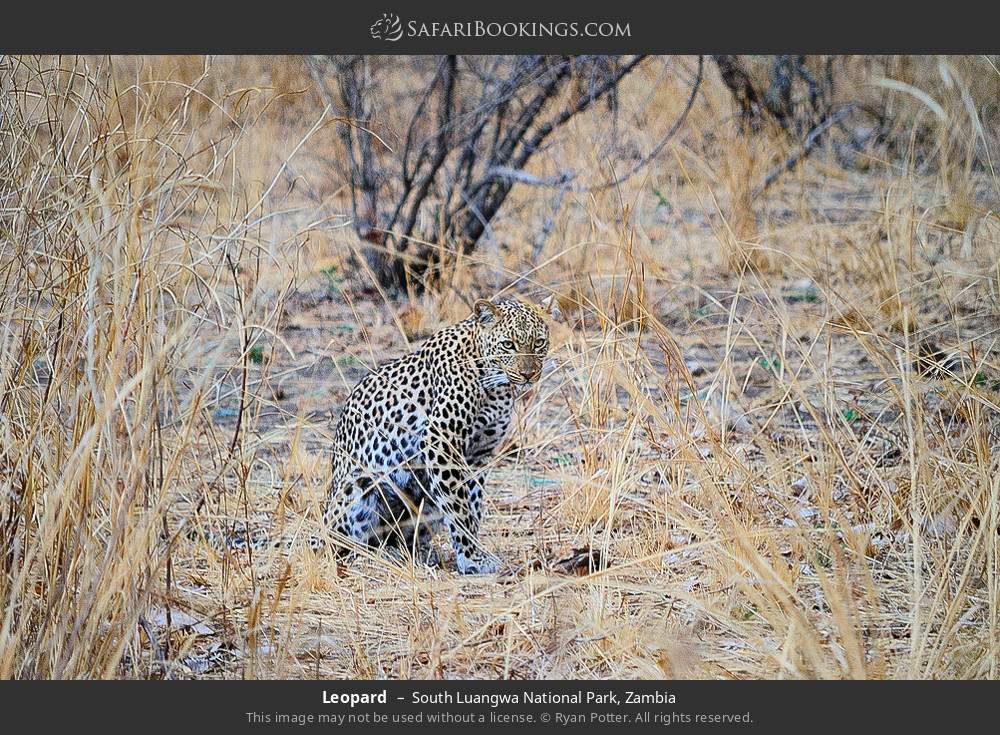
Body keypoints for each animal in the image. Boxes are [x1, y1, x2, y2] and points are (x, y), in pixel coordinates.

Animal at [320, 297, 553, 574]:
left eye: (538, 342)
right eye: (509, 344)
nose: (529, 374)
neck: (496, 388)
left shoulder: (478, 454)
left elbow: (472, 504)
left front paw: (471, 553)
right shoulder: (441, 441)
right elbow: (459, 508)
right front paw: (473, 558)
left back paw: (416, 553)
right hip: (359, 485)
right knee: (343, 544)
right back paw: (383, 555)